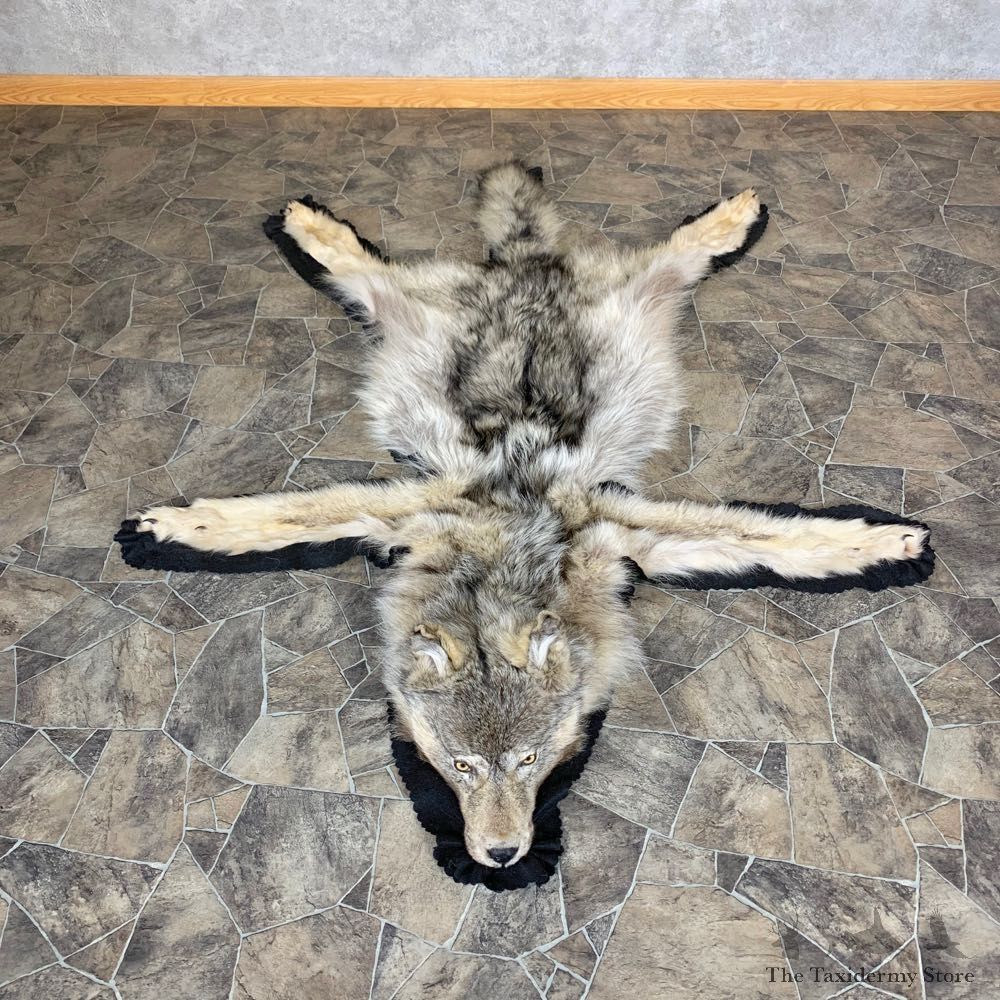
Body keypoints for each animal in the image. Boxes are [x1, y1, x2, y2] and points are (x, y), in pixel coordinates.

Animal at [128, 163, 933, 870]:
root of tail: (523, 268)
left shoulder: (621, 531)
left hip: (643, 294)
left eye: (526, 760)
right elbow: (279, 521)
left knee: (679, 250)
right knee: (360, 263)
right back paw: (304, 223)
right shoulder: (411, 512)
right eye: (462, 765)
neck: (511, 554)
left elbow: (782, 538)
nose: (500, 855)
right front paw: (170, 528)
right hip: (394, 307)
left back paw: (734, 217)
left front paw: (890, 541)